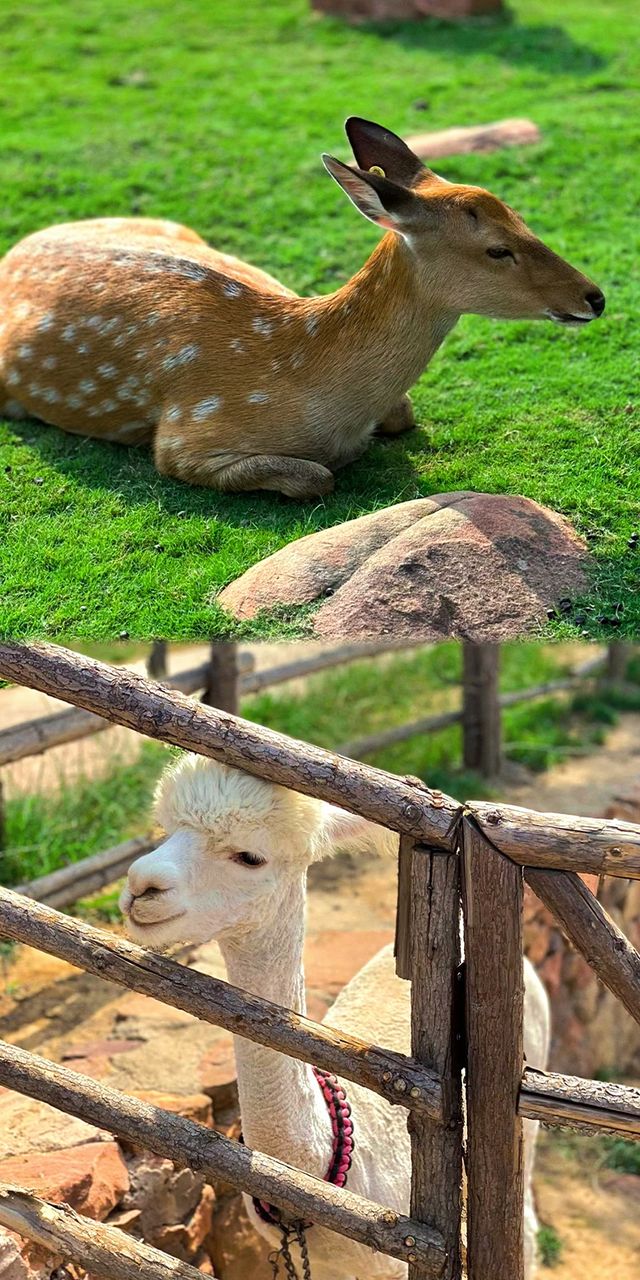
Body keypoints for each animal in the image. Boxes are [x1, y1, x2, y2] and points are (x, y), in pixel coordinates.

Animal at [0, 119, 604, 499]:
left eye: (522, 219)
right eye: (497, 249)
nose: (594, 297)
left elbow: (404, 413)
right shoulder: (186, 438)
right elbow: (318, 477)